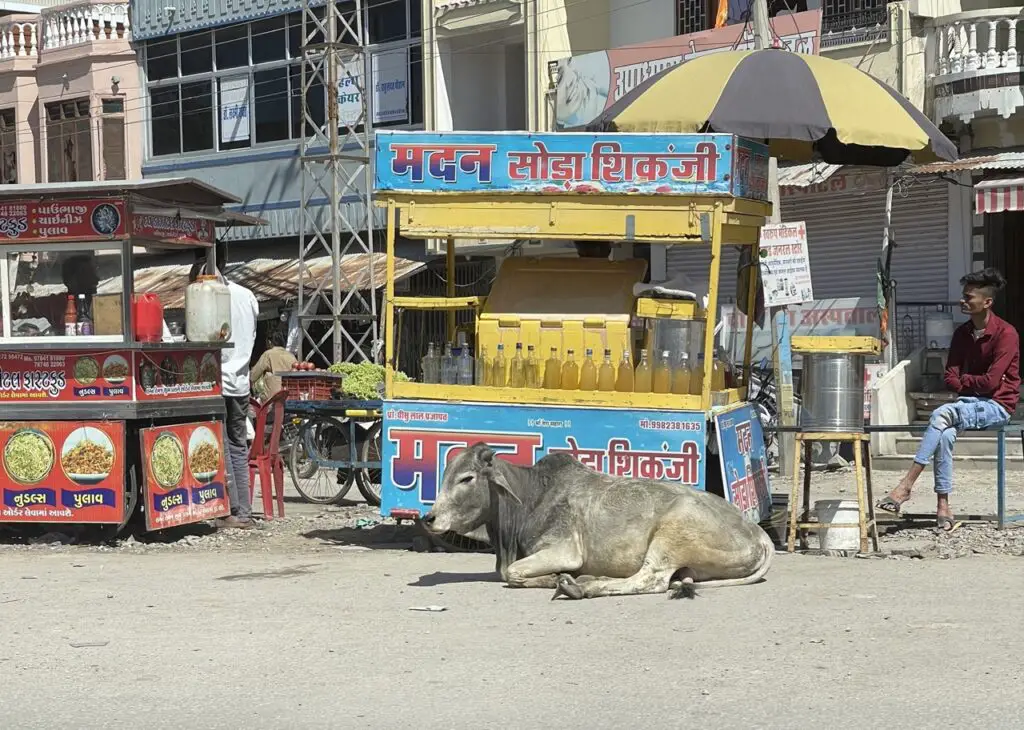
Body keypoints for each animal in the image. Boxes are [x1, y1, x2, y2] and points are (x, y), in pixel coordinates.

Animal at [419, 442, 770, 602]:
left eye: (467, 478)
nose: (429, 518)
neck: (532, 497)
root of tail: (756, 531)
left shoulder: (564, 550)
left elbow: (512, 573)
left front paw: (556, 578)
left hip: (671, 536)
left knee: (650, 581)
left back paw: (582, 586)